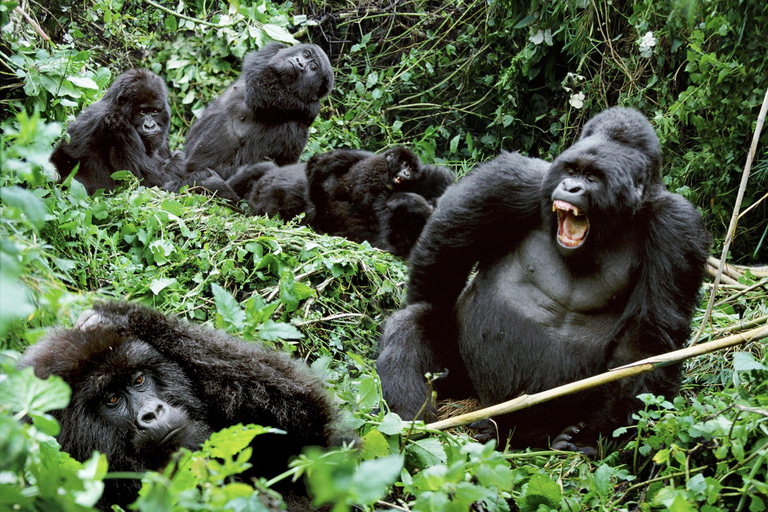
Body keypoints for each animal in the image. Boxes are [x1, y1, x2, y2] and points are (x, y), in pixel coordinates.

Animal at [376, 107, 712, 452]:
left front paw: (593, 436)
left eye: (593, 177)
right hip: (465, 386)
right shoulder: (512, 181)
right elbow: (443, 260)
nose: (571, 188)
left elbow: (646, 345)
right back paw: (413, 423)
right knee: (413, 324)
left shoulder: (676, 226)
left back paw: (519, 434)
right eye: (571, 170)